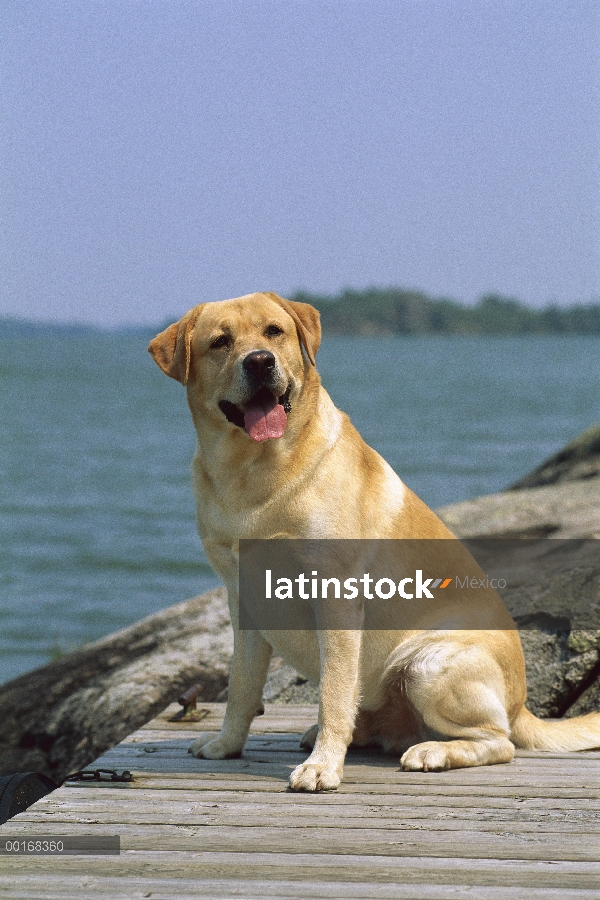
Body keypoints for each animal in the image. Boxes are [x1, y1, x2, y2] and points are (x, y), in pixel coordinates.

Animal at [149, 292, 600, 792]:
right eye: (220, 341)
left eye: (274, 332)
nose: (261, 361)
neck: (250, 469)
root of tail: (522, 706)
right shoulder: (243, 597)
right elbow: (241, 687)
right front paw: (227, 745)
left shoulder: (335, 597)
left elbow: (332, 691)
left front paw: (324, 767)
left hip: (427, 664)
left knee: (498, 742)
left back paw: (431, 751)